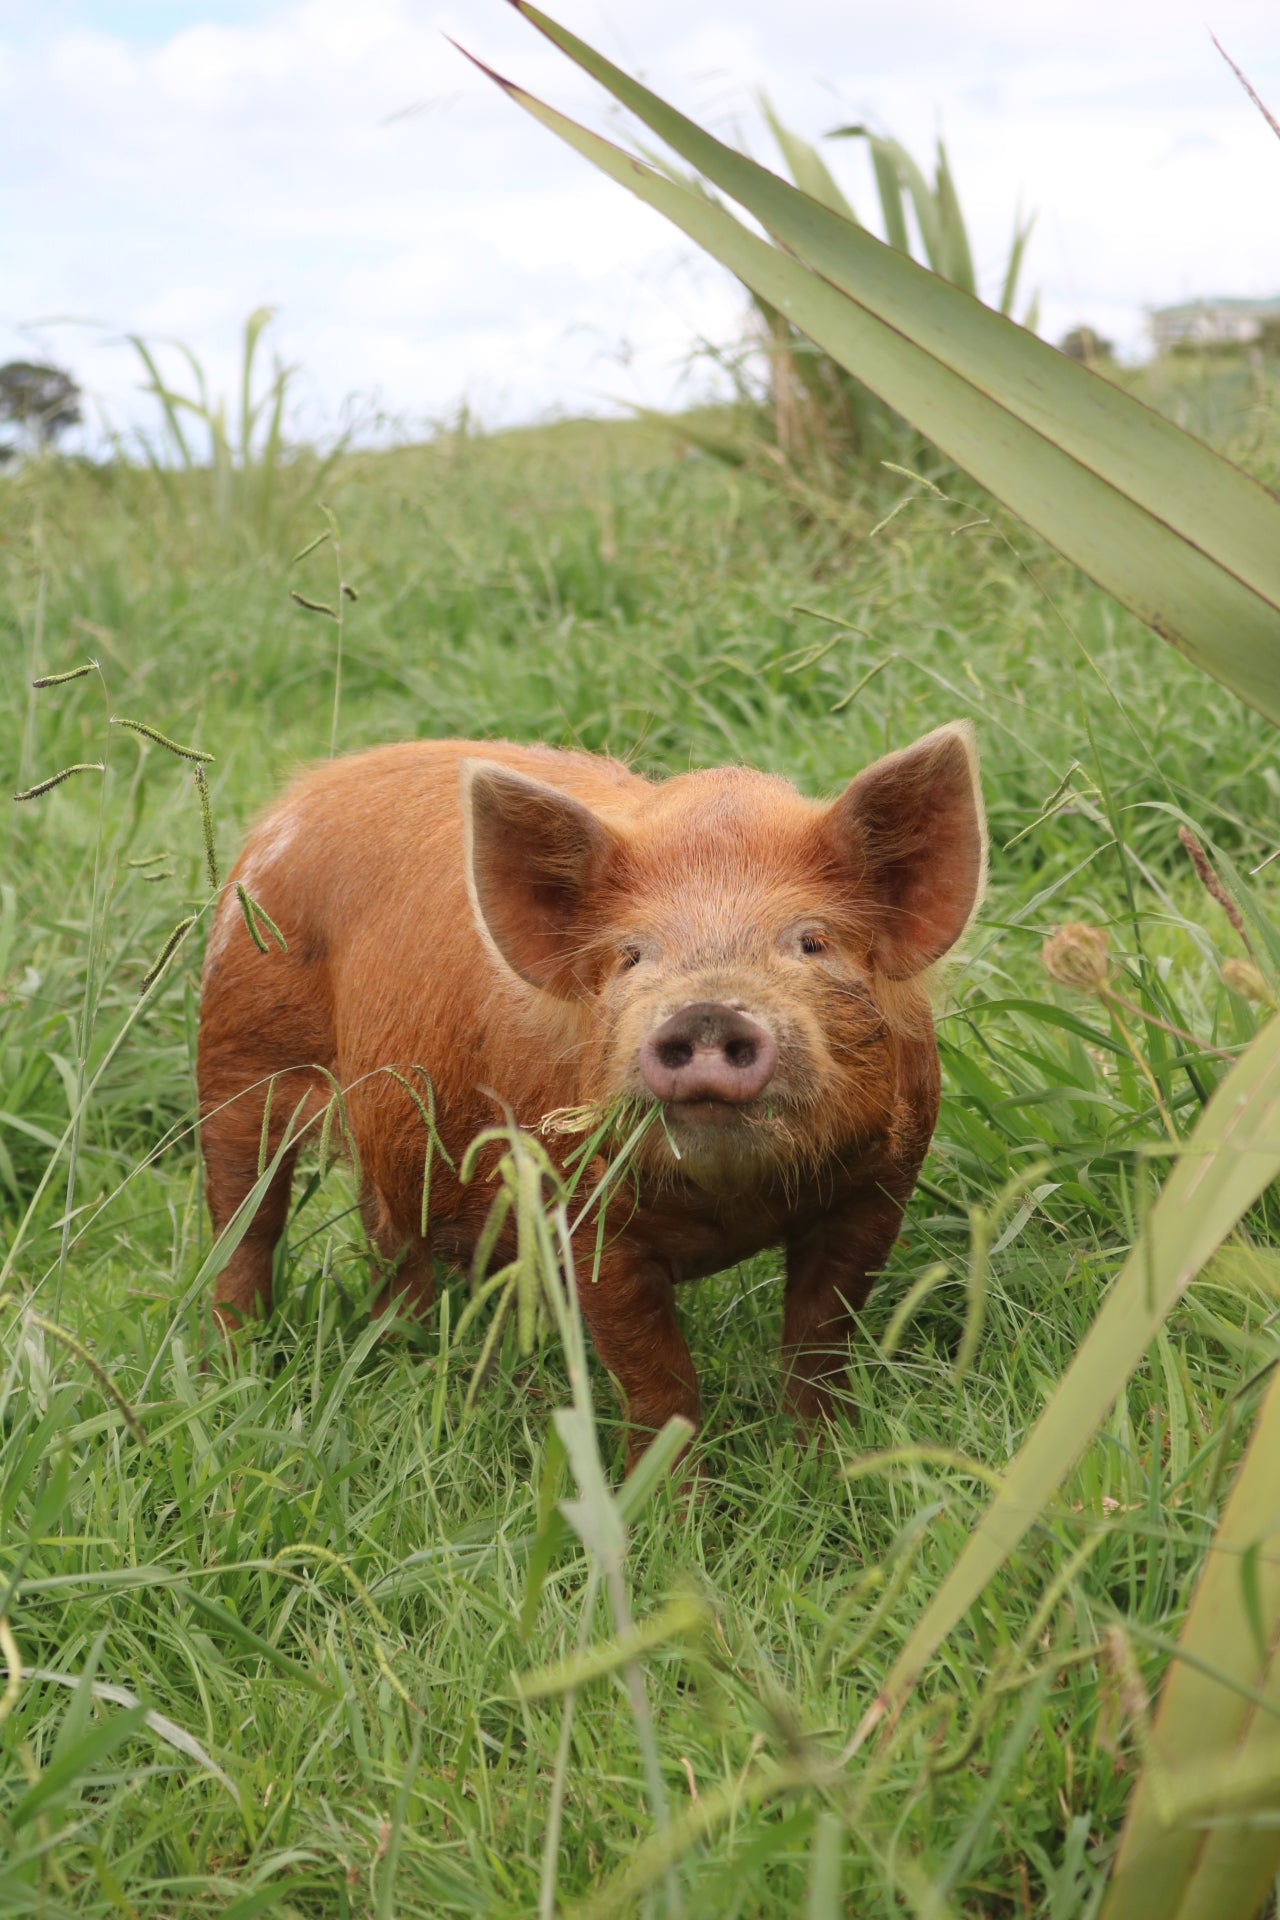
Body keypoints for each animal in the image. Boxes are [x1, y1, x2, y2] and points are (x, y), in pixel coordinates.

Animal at [197, 721, 990, 1451]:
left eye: (812, 942)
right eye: (631, 956)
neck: (733, 1203)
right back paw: (234, 1370)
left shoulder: (880, 1187)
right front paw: (671, 1503)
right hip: (237, 1053)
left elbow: (821, 1346)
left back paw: (405, 1352)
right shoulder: (577, 1214)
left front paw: (822, 1461)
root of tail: (296, 799)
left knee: (390, 1235)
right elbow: (658, 1381)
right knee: (244, 1222)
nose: (707, 1010)